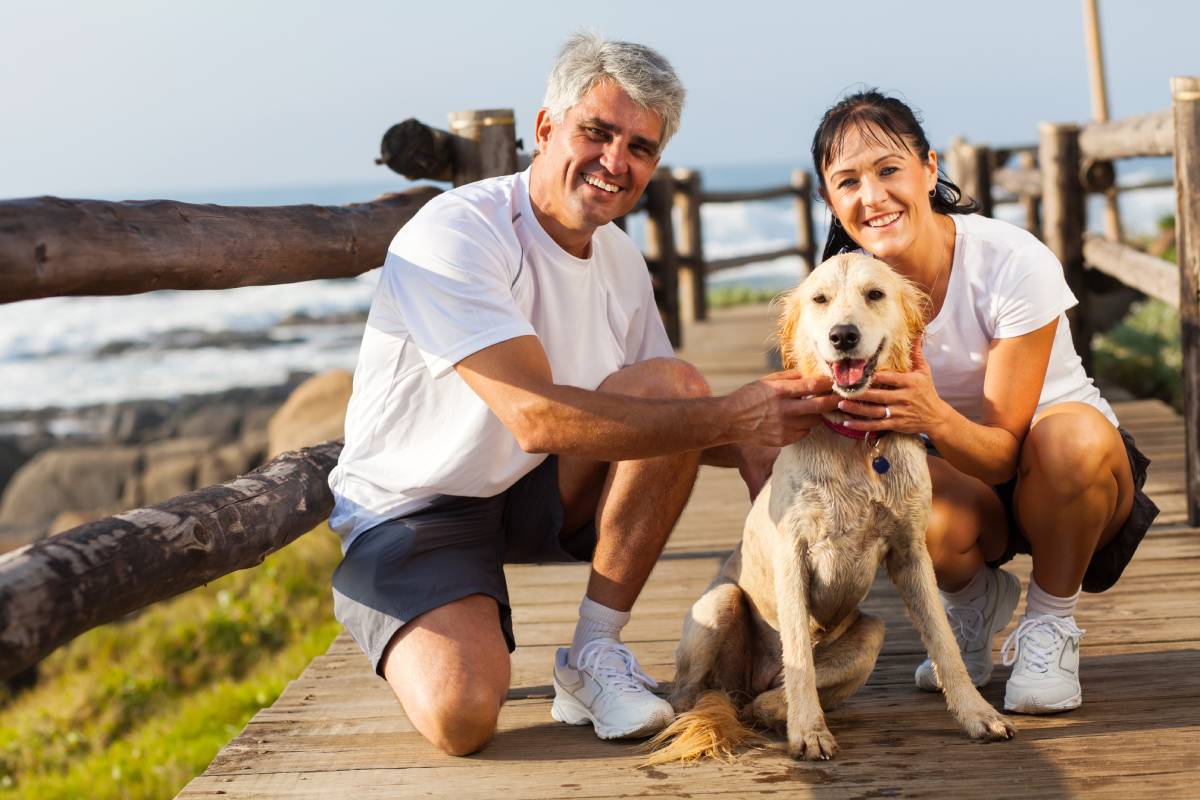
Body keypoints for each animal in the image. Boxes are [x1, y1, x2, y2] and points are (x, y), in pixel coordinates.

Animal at [652, 256, 1017, 762]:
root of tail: (740, 687)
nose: (842, 336)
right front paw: (809, 731)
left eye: (875, 294)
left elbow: (945, 643)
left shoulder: (911, 553)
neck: (857, 442)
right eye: (819, 299)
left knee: (766, 699)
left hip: (873, 632)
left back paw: (768, 709)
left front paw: (977, 714)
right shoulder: (792, 554)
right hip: (720, 602)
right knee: (690, 694)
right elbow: (800, 658)